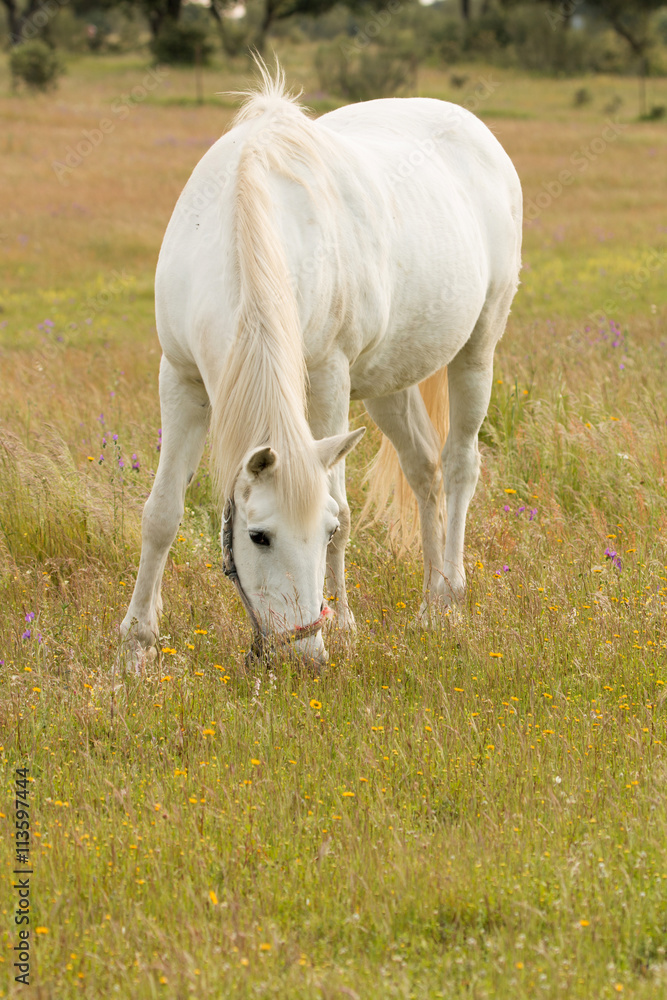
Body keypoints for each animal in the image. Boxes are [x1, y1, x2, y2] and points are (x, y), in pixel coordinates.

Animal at [120, 62, 522, 669]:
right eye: (259, 536)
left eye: (324, 533)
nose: (304, 656)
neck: (244, 229)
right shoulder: (183, 378)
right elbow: (162, 510)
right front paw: (137, 642)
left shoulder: (328, 380)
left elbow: (342, 504)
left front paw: (348, 625)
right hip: (386, 385)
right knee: (424, 470)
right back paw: (430, 602)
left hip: (477, 349)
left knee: (460, 466)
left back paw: (449, 594)